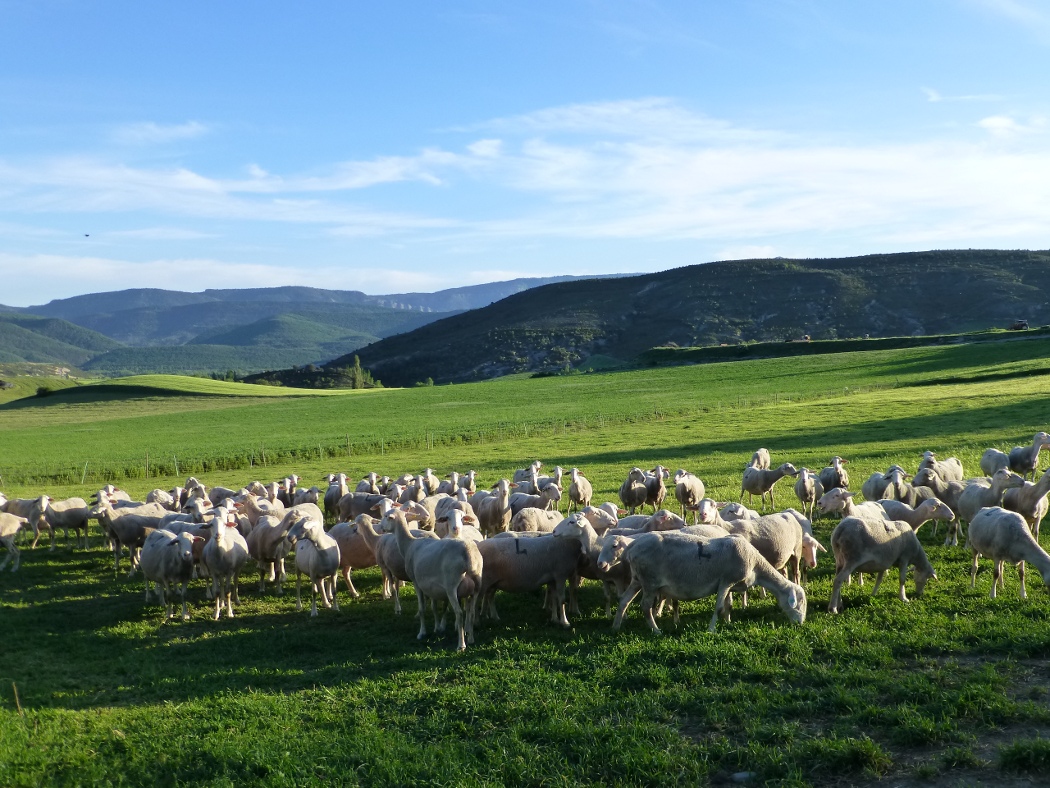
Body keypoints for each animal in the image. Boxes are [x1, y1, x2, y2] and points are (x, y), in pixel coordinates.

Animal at [392, 509, 483, 651]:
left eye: (387, 516)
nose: (381, 527)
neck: (409, 544)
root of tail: (469, 554)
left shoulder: (417, 583)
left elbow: (422, 609)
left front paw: (422, 633)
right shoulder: (433, 588)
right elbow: (434, 607)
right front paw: (437, 627)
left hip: (451, 586)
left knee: (459, 613)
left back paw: (461, 644)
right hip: (476, 587)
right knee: (472, 612)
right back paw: (471, 638)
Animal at [599, 532, 807, 633]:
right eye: (801, 602)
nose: (801, 623)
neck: (756, 565)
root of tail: (632, 547)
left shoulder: (728, 584)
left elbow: (728, 605)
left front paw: (728, 623)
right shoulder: (726, 580)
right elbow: (718, 607)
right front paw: (711, 629)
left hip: (637, 579)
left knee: (624, 601)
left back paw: (616, 627)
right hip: (650, 581)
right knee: (645, 606)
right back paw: (656, 630)